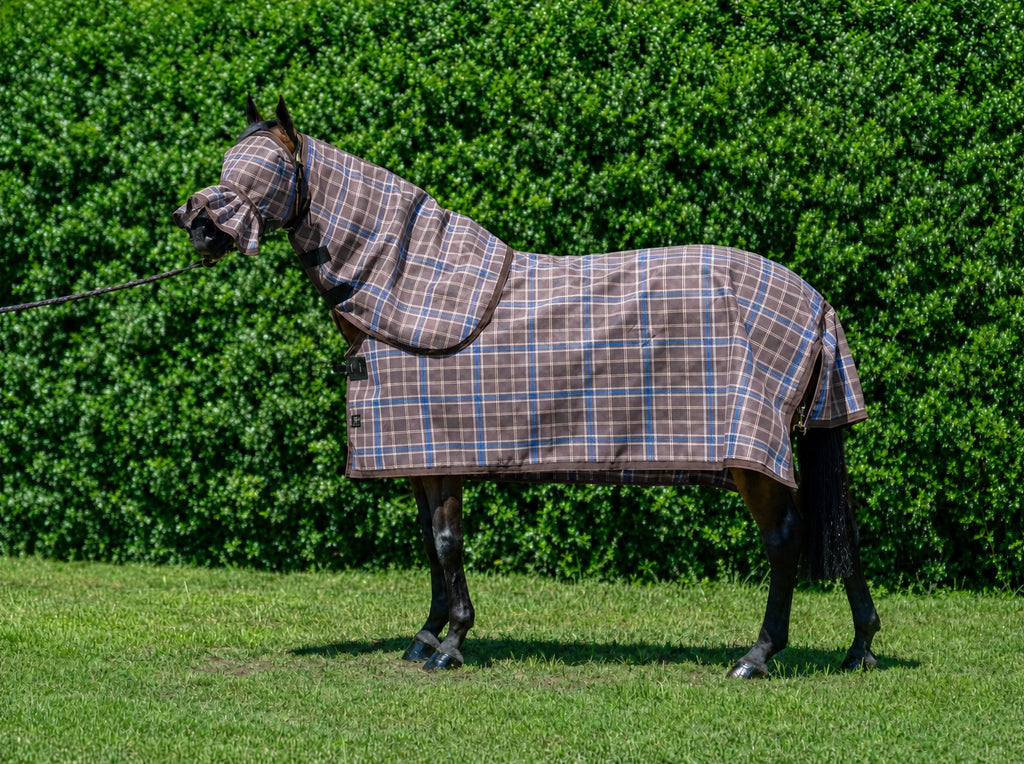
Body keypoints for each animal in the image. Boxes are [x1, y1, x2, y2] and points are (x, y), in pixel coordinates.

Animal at [174, 96, 880, 678]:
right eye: (228, 162)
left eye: (265, 170)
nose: (199, 226)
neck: (405, 290)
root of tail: (815, 302)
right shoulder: (423, 458)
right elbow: (430, 545)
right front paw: (427, 636)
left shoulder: (444, 455)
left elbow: (447, 543)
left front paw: (451, 644)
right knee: (840, 535)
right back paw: (860, 647)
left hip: (751, 459)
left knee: (784, 540)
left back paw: (757, 656)